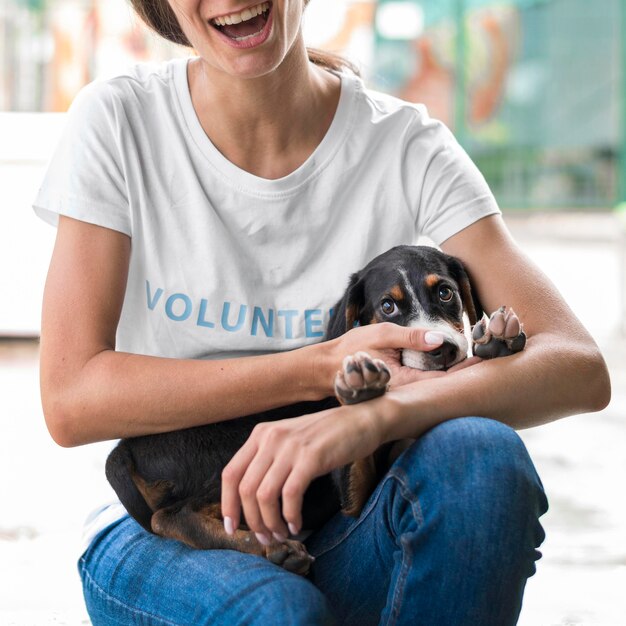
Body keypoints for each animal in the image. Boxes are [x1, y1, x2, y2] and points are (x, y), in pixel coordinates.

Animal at [106, 243, 520, 572]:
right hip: (235, 449)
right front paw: (361, 392)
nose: (443, 350)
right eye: (388, 306)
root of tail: (124, 448)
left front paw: (497, 338)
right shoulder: (351, 498)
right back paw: (271, 548)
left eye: (446, 293)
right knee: (171, 516)